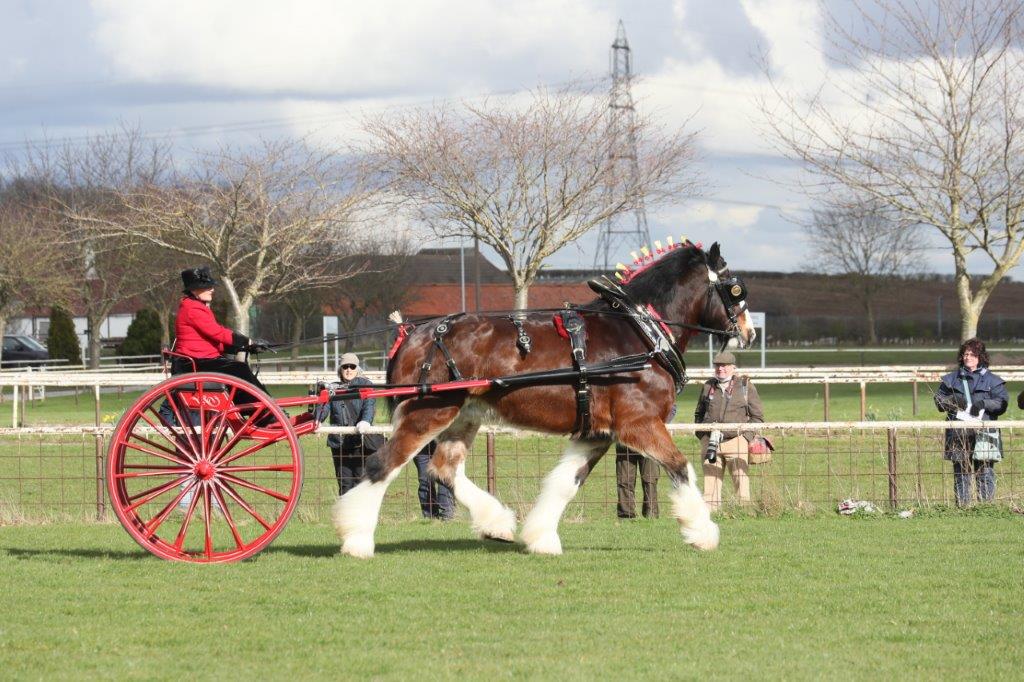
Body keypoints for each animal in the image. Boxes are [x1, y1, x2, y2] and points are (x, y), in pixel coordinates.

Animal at [333, 241, 756, 557]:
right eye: (734, 287)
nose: (750, 332)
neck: (640, 333)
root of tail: (412, 335)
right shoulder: (639, 425)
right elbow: (681, 467)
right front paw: (702, 532)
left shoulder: (596, 434)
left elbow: (565, 483)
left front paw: (541, 538)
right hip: (429, 413)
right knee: (381, 464)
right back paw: (357, 540)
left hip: (464, 415)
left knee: (444, 469)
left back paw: (497, 523)